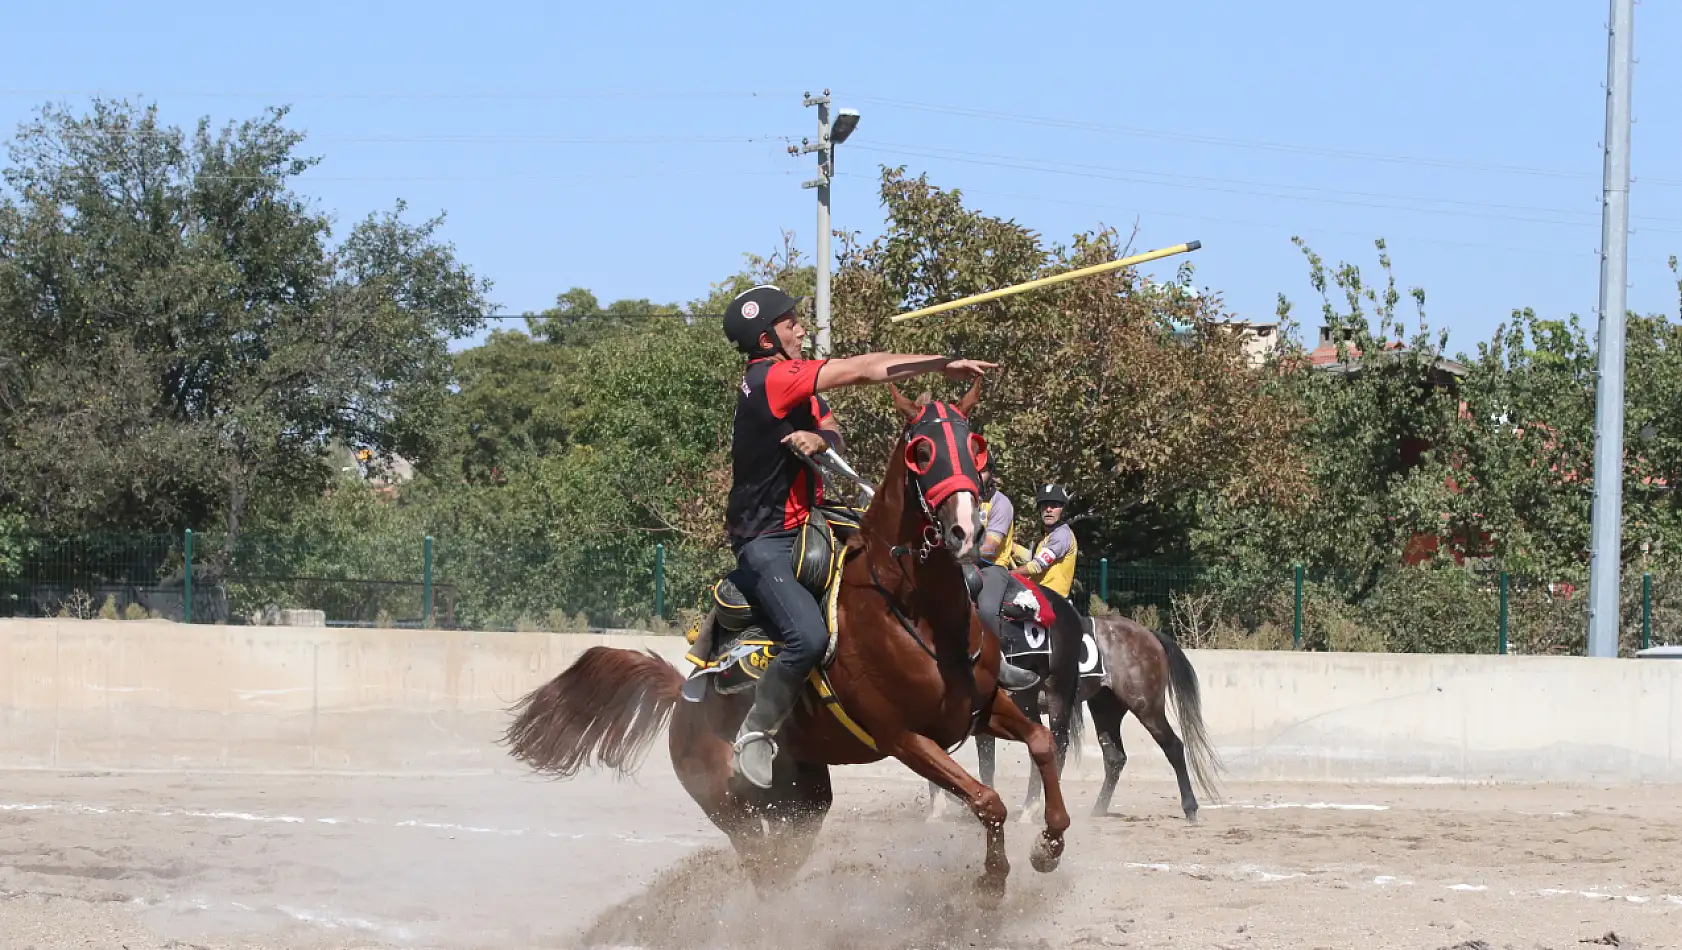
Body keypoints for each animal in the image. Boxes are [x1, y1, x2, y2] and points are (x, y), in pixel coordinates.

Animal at [504, 381, 1069, 901]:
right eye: (921, 450)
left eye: (975, 444)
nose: (964, 530)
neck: (917, 614)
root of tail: (681, 698)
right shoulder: (907, 739)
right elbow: (987, 799)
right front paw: (993, 880)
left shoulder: (984, 707)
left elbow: (1041, 746)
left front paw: (1049, 845)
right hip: (732, 809)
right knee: (762, 867)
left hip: (802, 801)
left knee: (780, 864)